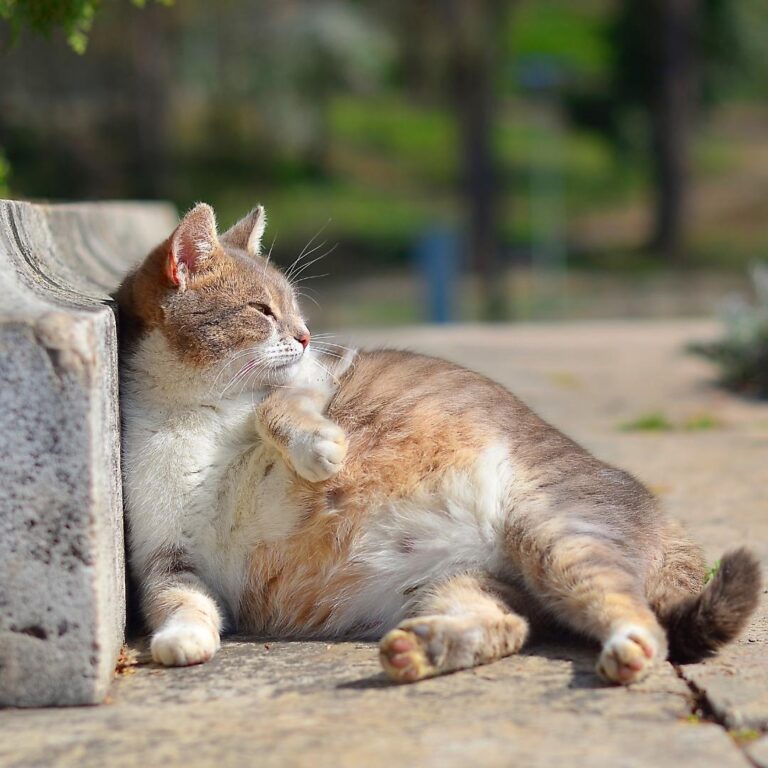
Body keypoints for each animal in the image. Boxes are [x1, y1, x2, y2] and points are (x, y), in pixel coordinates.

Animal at [115, 202, 760, 684]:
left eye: (296, 309)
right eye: (260, 309)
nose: (304, 335)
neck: (191, 413)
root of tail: (666, 522)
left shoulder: (318, 377)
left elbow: (279, 407)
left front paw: (320, 451)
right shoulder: (167, 559)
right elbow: (182, 603)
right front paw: (182, 640)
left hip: (557, 534)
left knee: (642, 620)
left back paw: (627, 650)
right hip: (460, 584)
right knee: (511, 625)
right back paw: (420, 650)